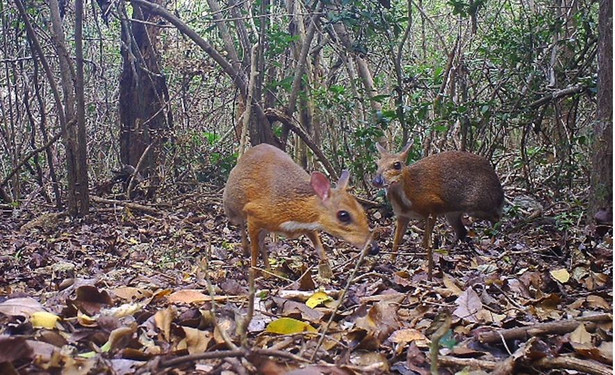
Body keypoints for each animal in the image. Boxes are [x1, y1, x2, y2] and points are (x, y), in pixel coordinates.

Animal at [224, 144, 378, 280]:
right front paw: (253, 272)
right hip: (232, 209)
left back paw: (269, 270)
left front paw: (328, 272)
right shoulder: (253, 212)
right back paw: (246, 250)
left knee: (262, 242)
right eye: (343, 215)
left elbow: (320, 249)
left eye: (362, 210)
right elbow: (254, 250)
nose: (374, 248)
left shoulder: (309, 226)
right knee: (242, 226)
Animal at [372, 142, 502, 280]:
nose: (376, 181)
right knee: (462, 231)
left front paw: (425, 260)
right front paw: (390, 260)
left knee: (497, 218)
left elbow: (425, 242)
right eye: (377, 164)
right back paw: (448, 251)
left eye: (397, 164)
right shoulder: (402, 216)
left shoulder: (432, 208)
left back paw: (492, 242)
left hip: (479, 206)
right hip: (452, 213)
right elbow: (396, 242)